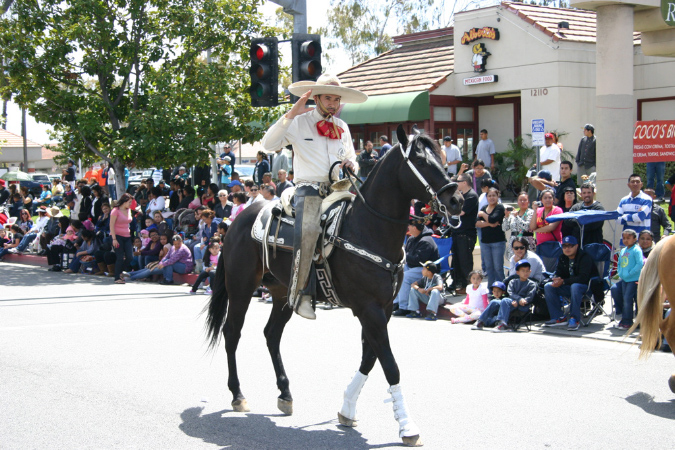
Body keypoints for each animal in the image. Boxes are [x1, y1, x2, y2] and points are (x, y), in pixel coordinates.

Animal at [206, 125, 464, 444]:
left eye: (442, 156)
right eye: (420, 160)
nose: (457, 201)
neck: (367, 228)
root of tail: (239, 218)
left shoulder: (383, 308)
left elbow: (370, 358)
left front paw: (347, 408)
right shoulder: (369, 309)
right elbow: (389, 364)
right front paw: (407, 425)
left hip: (284, 292)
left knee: (271, 334)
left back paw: (285, 393)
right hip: (241, 287)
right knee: (232, 333)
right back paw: (238, 394)